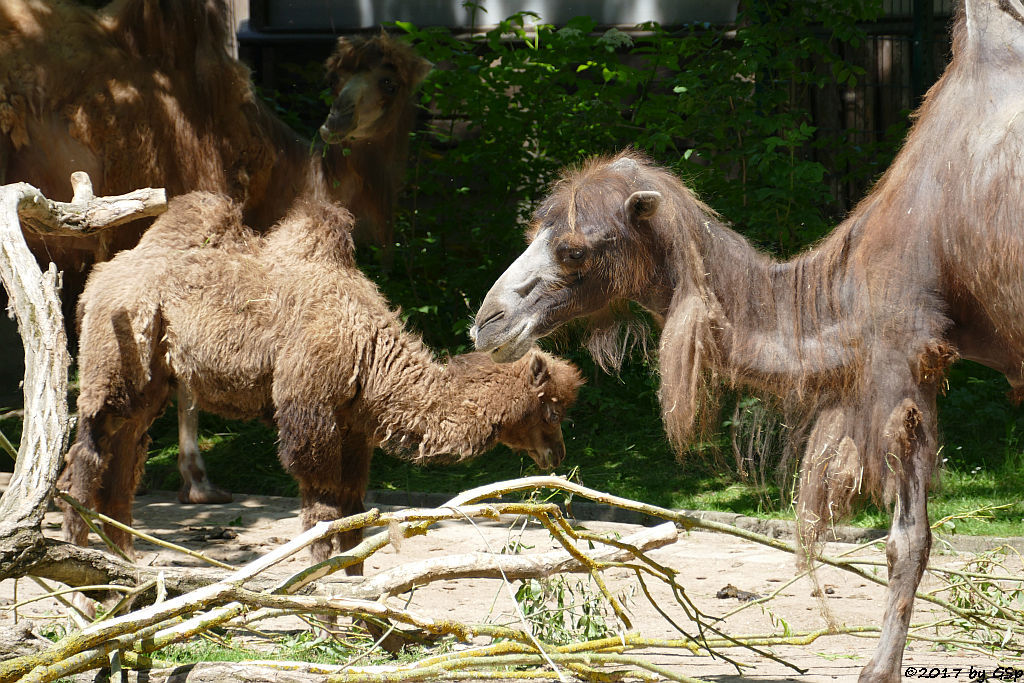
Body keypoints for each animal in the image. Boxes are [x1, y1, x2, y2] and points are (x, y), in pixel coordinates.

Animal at [58, 192, 585, 573]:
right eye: (551, 407)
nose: (557, 455)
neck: (371, 355)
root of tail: (97, 281)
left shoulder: (354, 426)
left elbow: (353, 513)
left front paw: (359, 596)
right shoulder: (309, 412)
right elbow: (321, 510)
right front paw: (322, 592)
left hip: (152, 382)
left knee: (125, 459)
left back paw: (123, 562)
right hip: (116, 356)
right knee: (90, 452)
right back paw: (84, 571)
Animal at [468, 0, 1024, 679]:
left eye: (574, 250)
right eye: (533, 231)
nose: (488, 320)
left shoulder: (903, 358)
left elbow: (907, 540)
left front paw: (878, 668)